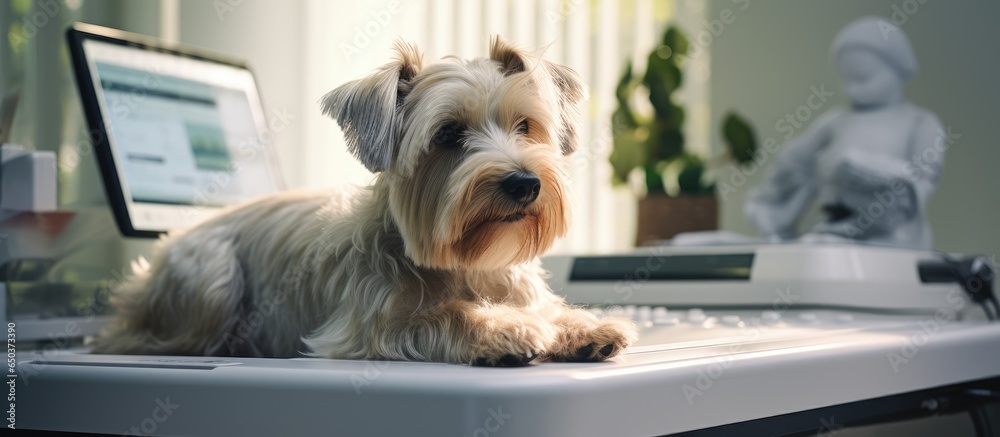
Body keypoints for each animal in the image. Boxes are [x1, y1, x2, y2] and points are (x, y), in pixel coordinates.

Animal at [86, 36, 632, 364]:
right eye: (448, 135)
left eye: (525, 126)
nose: (524, 183)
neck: (467, 262)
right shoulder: (370, 325)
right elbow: (440, 315)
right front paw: (505, 329)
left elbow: (546, 307)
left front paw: (580, 325)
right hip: (210, 276)